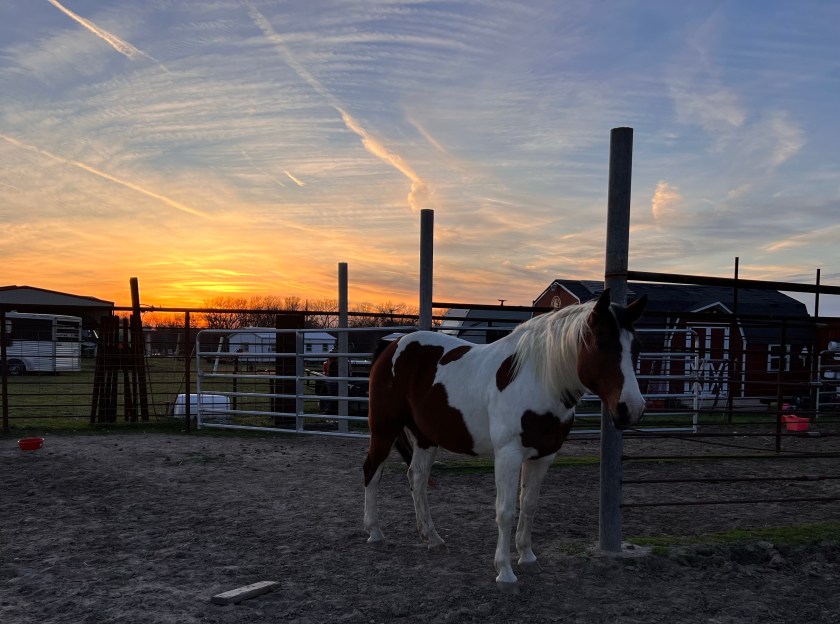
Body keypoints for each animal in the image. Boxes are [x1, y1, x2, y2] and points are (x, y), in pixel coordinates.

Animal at [362, 288, 648, 589]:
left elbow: (529, 505)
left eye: (636, 347)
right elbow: (506, 510)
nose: (631, 409)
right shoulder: (508, 455)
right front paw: (505, 572)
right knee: (372, 471)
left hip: (425, 437)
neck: (539, 382)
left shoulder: (544, 455)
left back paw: (433, 538)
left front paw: (528, 558)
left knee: (416, 478)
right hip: (384, 429)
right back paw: (375, 533)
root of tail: (392, 345)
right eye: (601, 344)